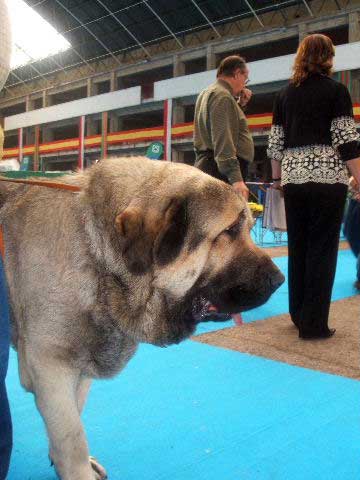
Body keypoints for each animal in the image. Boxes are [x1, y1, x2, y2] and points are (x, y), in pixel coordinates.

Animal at [0, 156, 284, 478]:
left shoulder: (82, 359)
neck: (96, 254)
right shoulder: (50, 364)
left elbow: (75, 413)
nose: (279, 279)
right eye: (229, 231)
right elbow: (71, 437)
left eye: (248, 227)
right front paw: (77, 469)